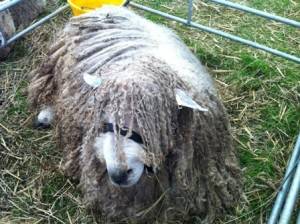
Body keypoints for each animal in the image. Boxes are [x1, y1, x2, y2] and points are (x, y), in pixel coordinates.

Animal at [28, 6, 241, 223]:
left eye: (157, 123)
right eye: (104, 119)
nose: (118, 174)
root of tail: (105, 8)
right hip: (54, 67)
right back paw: (45, 115)